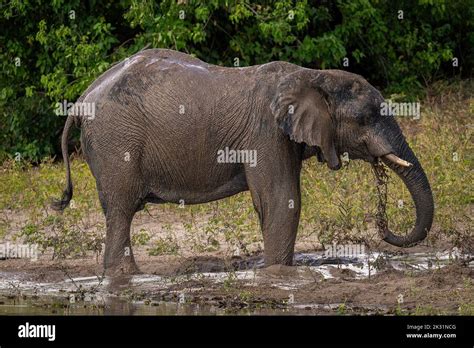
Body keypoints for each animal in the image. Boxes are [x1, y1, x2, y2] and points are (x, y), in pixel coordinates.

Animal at [51, 49, 434, 276]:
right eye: (366, 118)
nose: (383, 228)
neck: (312, 75)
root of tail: (83, 97)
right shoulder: (265, 133)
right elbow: (282, 201)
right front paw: (277, 275)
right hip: (117, 143)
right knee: (121, 210)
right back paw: (127, 278)